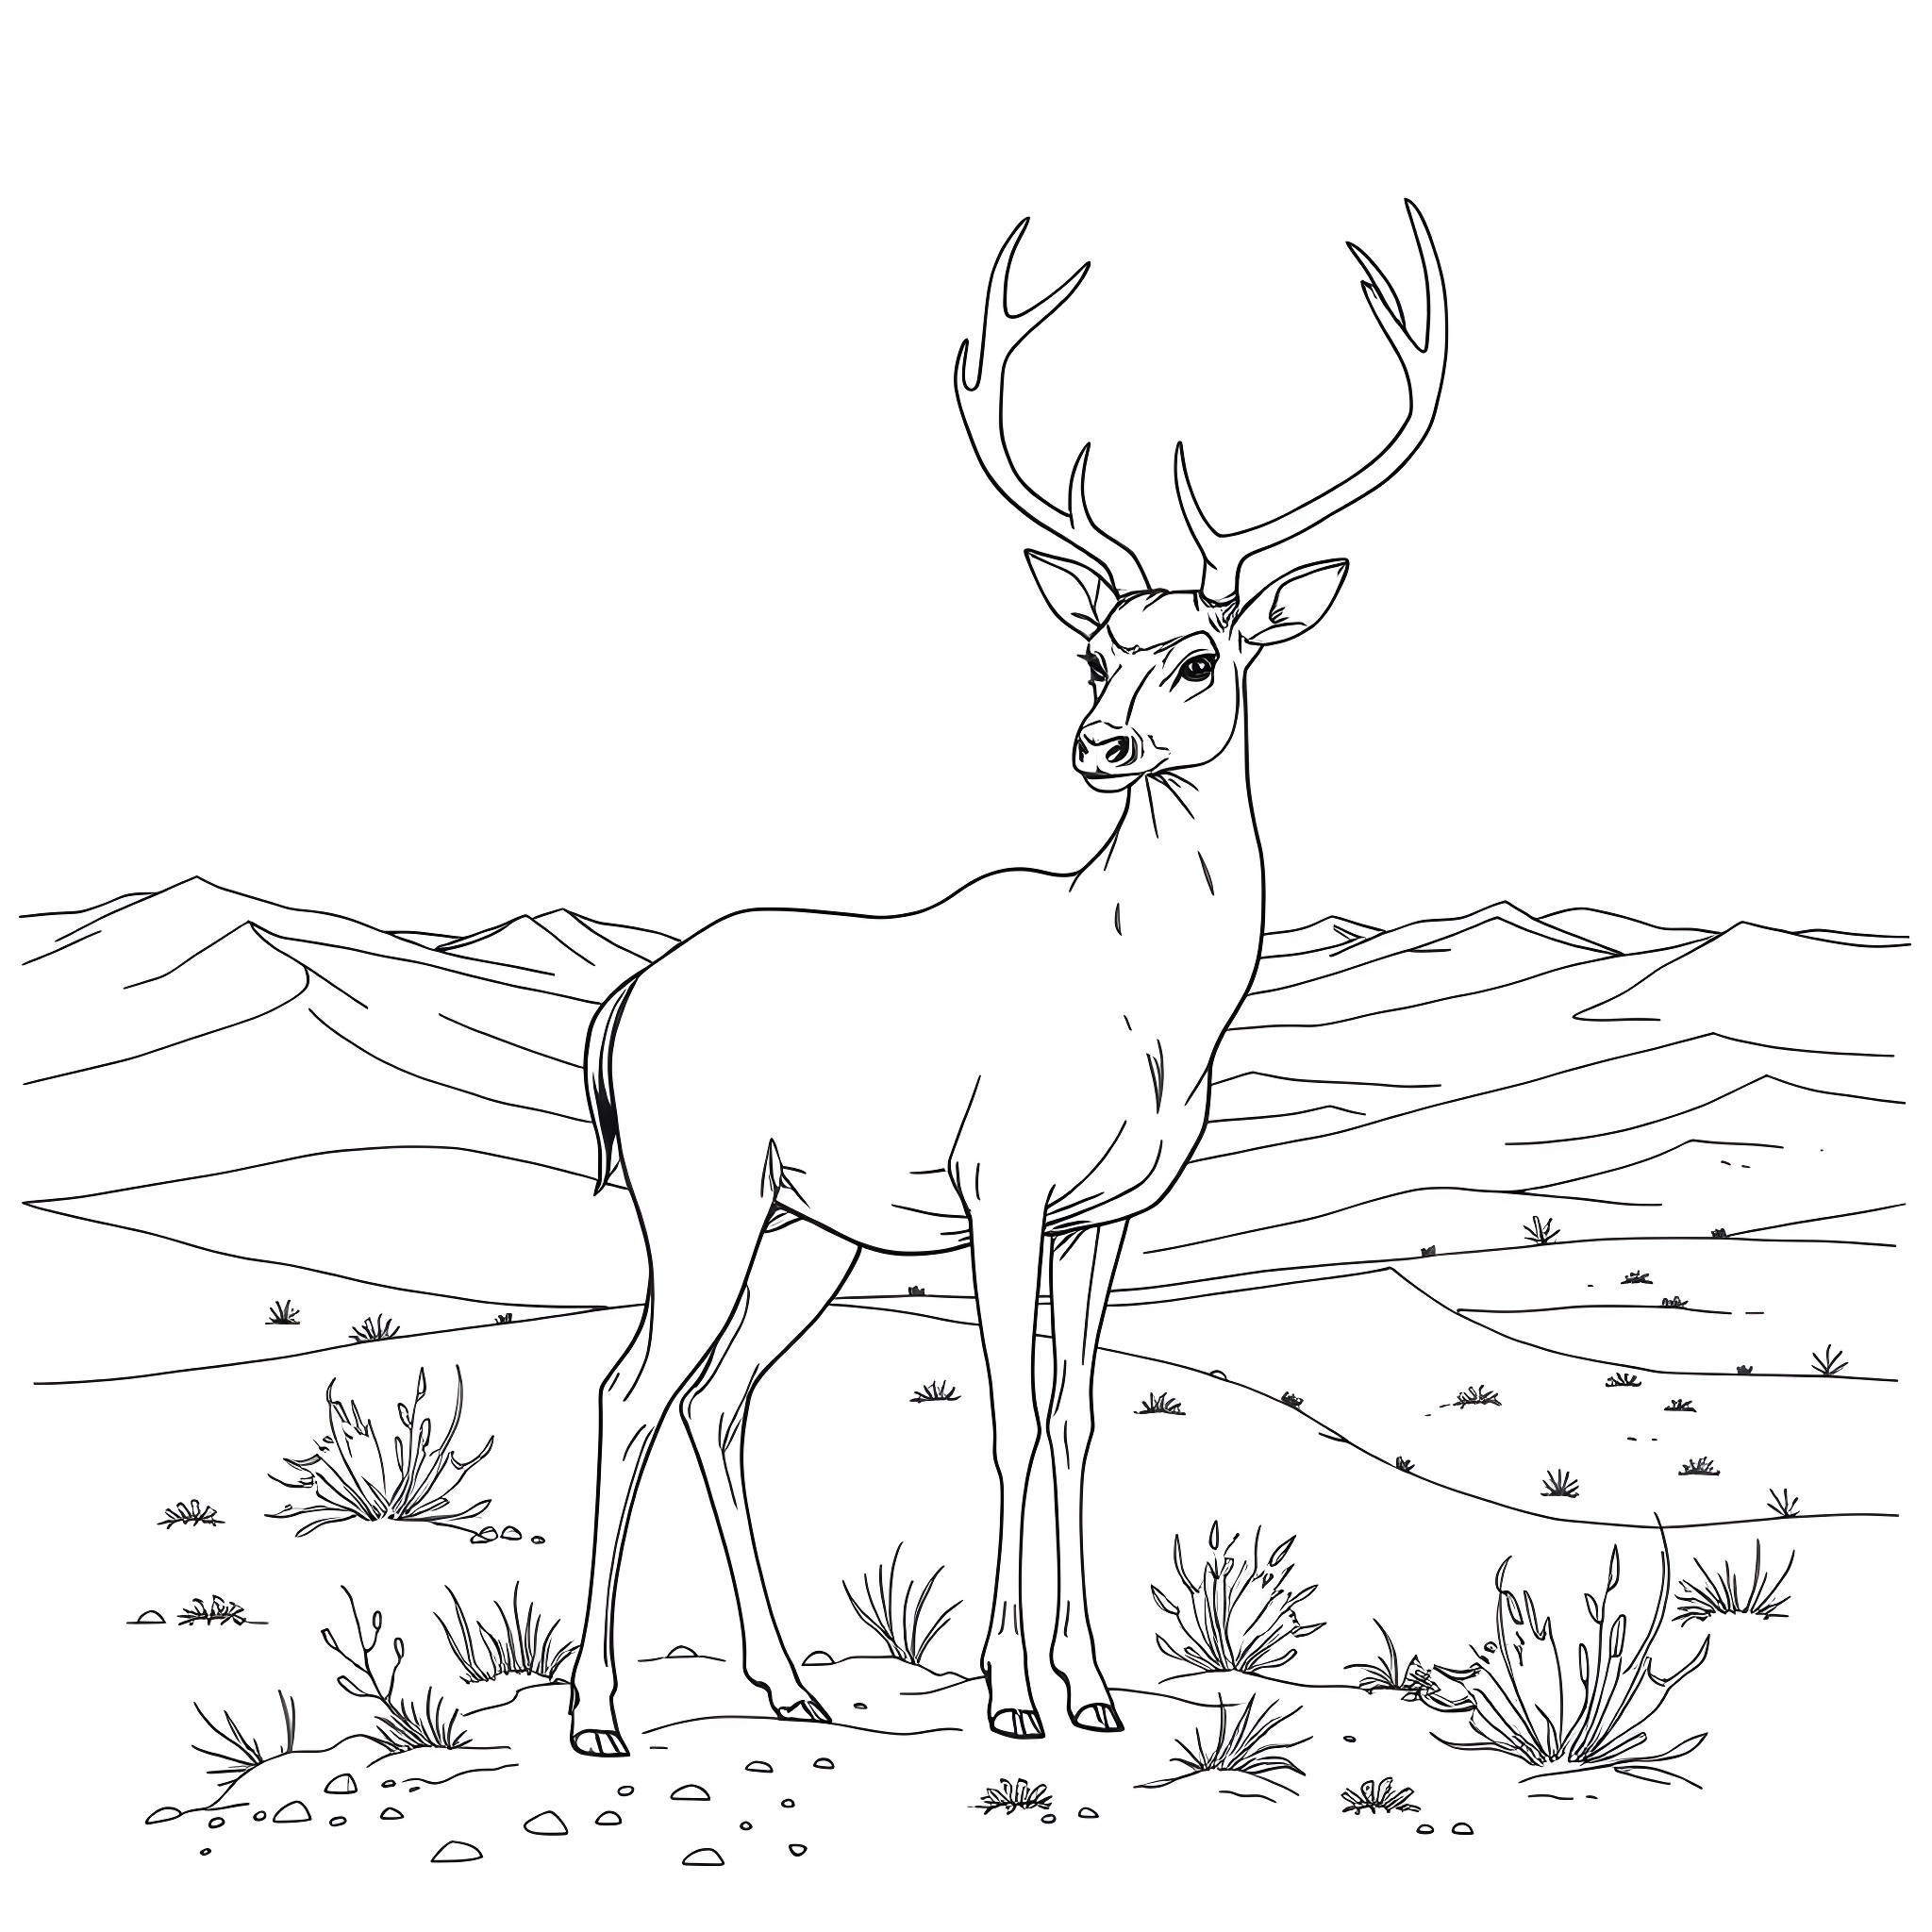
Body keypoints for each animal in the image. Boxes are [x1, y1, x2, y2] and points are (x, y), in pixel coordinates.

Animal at [567, 202, 1447, 1754]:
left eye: (1200, 655)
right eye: (1091, 653)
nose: (1098, 746)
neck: (1146, 1005)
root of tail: (622, 1010)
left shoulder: (1108, 1213)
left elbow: (1077, 1412)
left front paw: (1094, 1689)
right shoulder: (1002, 1185)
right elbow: (1002, 1416)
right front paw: (1013, 1692)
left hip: (809, 1230)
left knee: (719, 1399)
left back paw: (790, 1685)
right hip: (698, 1195)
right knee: (628, 1392)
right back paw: (599, 1711)